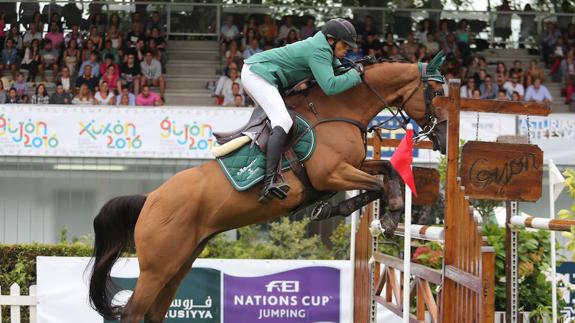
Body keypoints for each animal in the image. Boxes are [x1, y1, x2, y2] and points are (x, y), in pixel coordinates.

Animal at [89, 54, 450, 322]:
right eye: (435, 92)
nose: (445, 139)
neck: (340, 111)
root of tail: (150, 199)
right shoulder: (331, 174)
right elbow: (377, 183)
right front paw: (386, 215)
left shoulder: (353, 165)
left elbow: (387, 171)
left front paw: (344, 209)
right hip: (157, 267)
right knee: (133, 313)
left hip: (180, 262)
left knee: (155, 312)